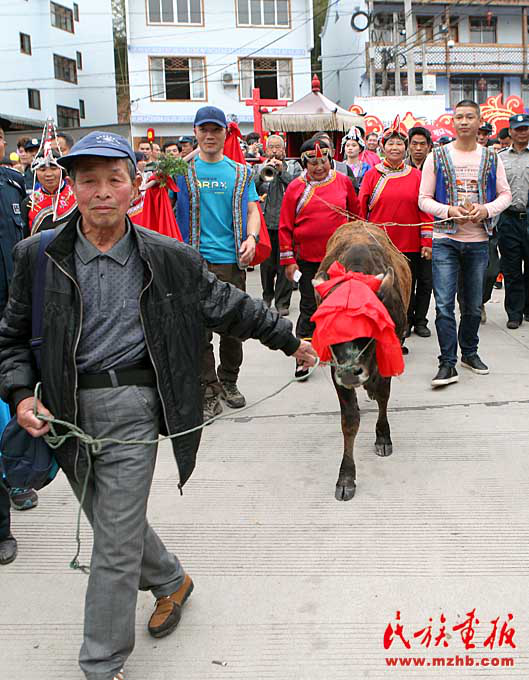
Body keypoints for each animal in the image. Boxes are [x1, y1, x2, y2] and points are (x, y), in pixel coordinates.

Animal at [313, 221, 412, 501]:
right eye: (329, 326)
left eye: (368, 323)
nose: (350, 372)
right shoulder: (335, 371)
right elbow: (349, 421)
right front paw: (346, 477)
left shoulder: (388, 357)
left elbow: (383, 396)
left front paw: (383, 437)